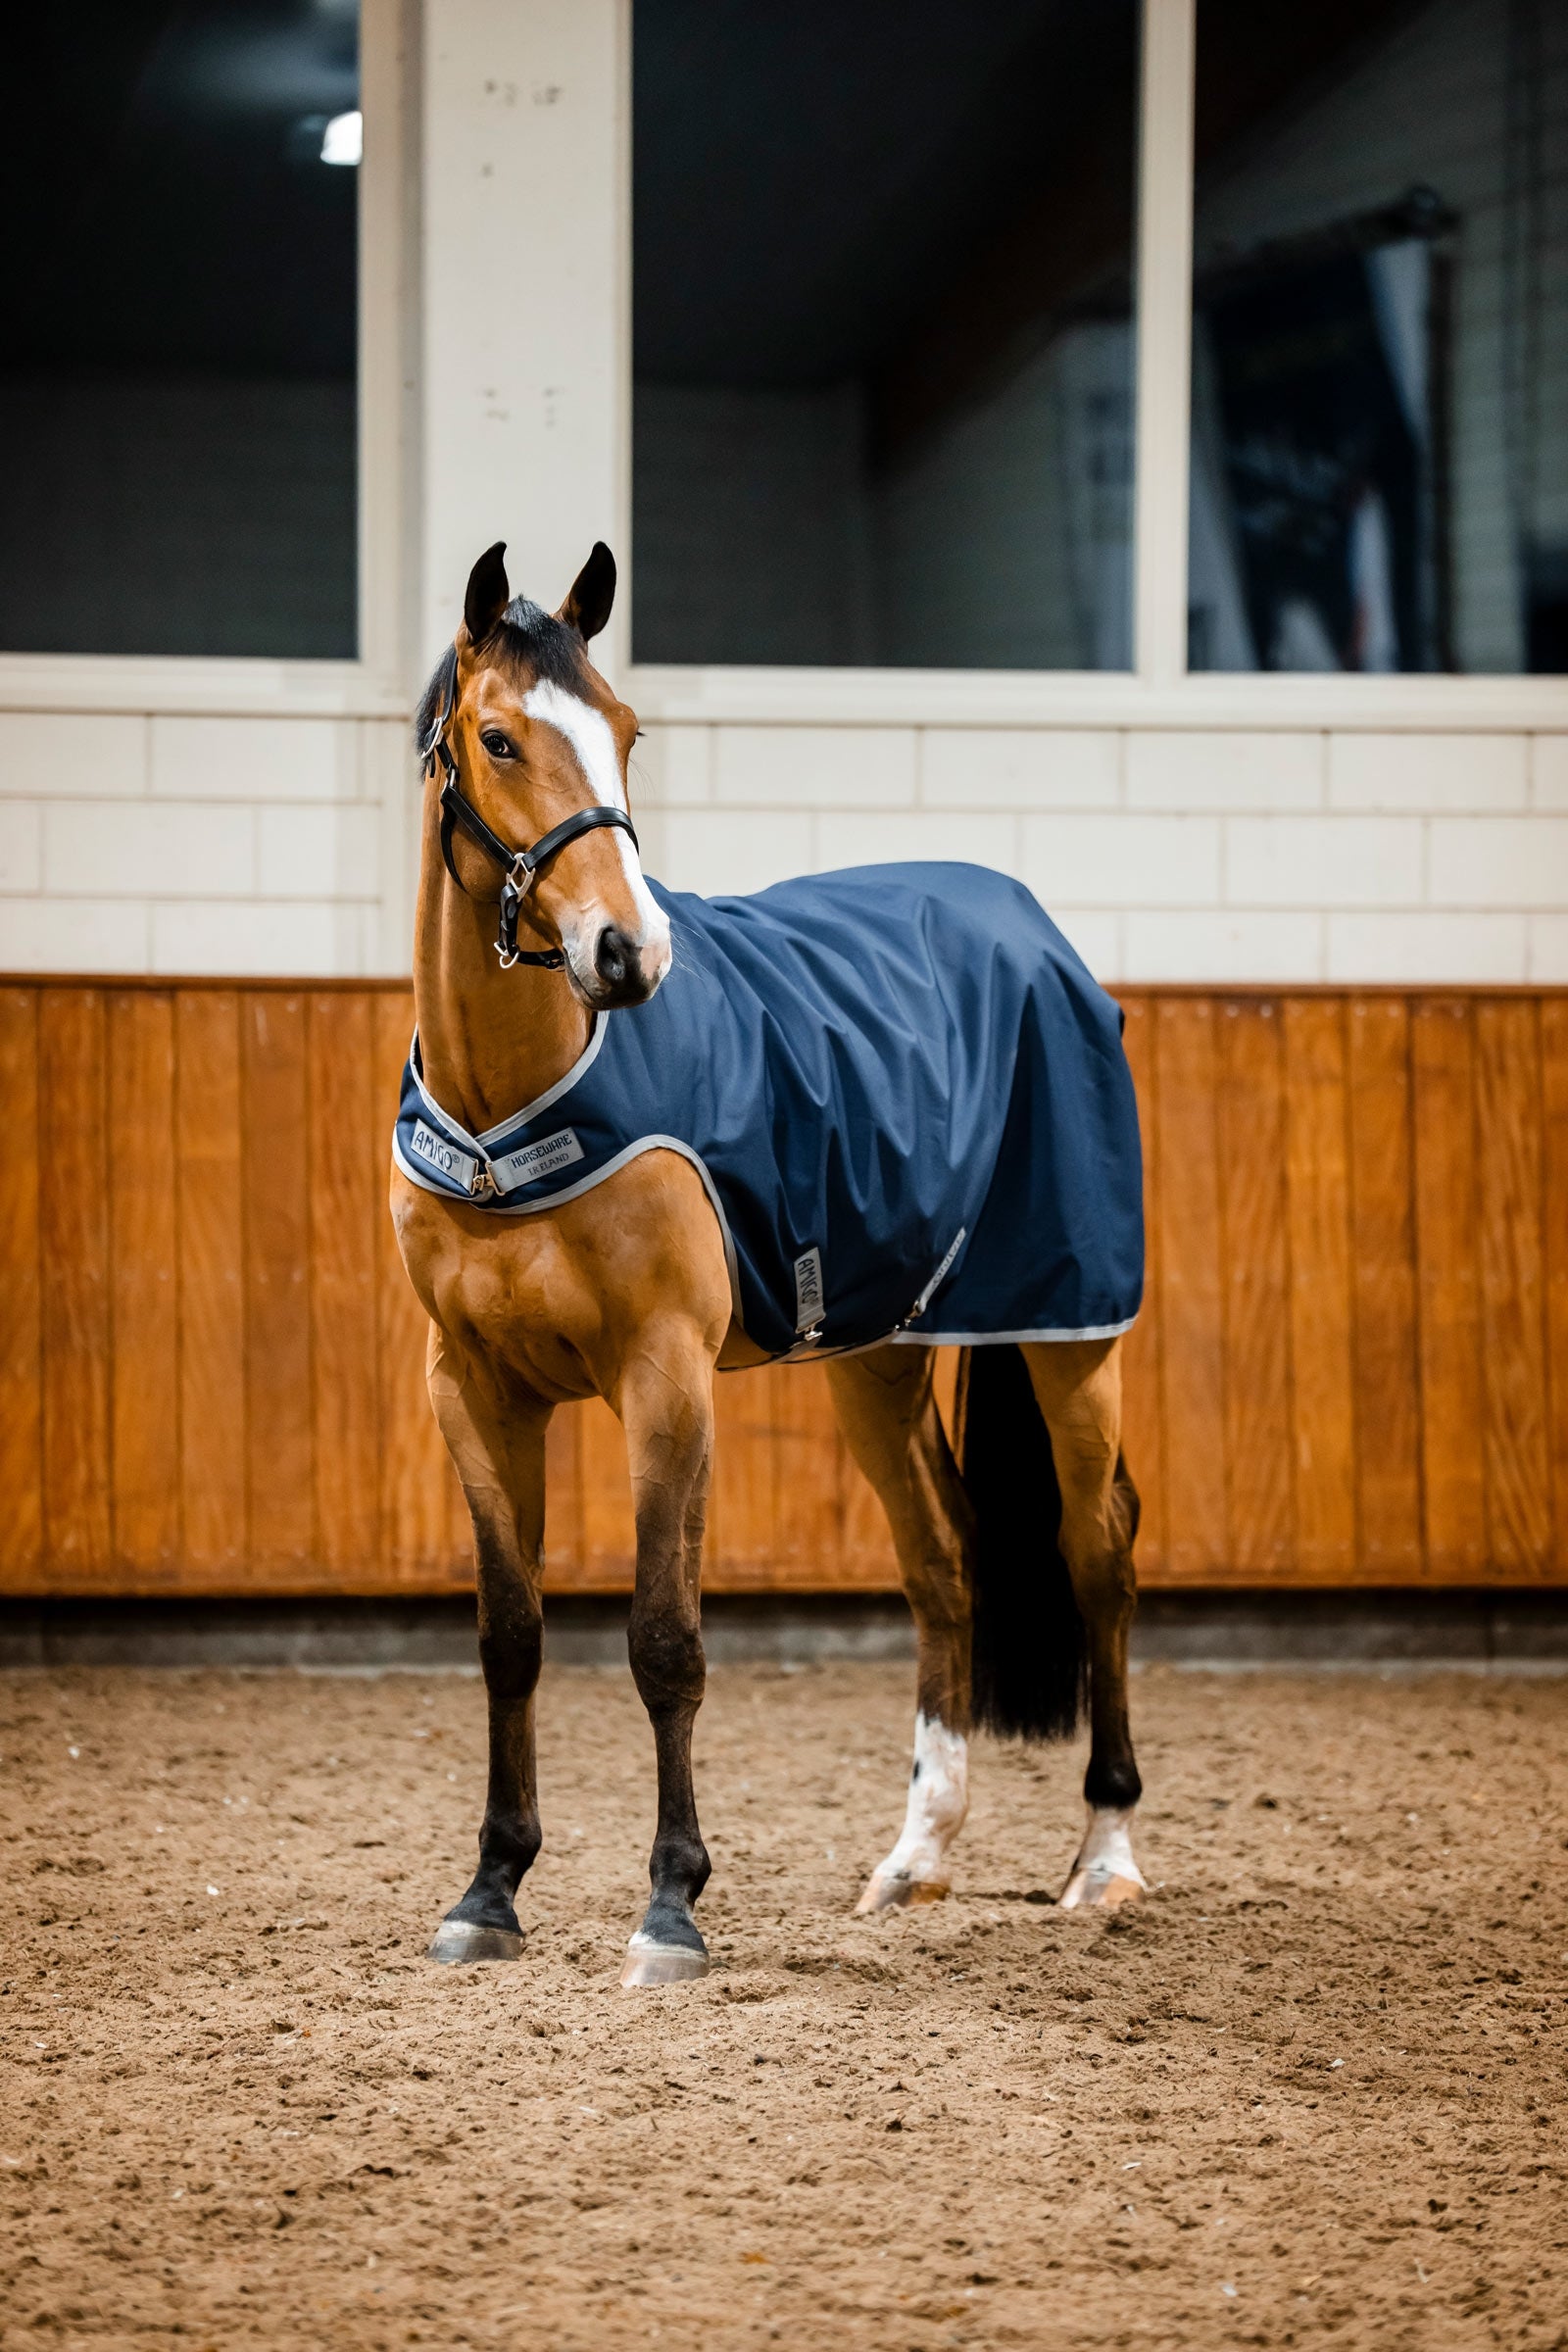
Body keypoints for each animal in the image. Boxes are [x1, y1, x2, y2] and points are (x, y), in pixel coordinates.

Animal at [391, 540, 1146, 1987]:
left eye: (627, 731)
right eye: (500, 738)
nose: (629, 954)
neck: (516, 1102)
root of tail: (1035, 930)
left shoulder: (665, 1379)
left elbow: (664, 1640)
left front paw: (670, 1909)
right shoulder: (474, 1388)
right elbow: (510, 1639)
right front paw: (488, 1892)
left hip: (1067, 1335)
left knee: (1098, 1552)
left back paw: (1105, 1859)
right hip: (883, 1357)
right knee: (948, 1559)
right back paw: (915, 1860)